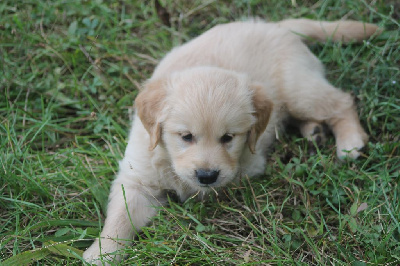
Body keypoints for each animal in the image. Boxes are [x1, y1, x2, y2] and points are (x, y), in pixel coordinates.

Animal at [83, 18, 378, 264]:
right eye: (186, 137)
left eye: (228, 138)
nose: (206, 176)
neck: (167, 157)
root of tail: (275, 25)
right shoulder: (137, 177)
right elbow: (120, 216)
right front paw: (102, 252)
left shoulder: (247, 166)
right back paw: (314, 131)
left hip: (300, 90)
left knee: (342, 100)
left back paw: (350, 140)